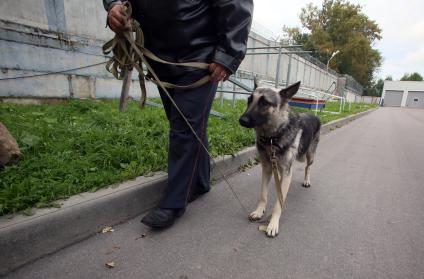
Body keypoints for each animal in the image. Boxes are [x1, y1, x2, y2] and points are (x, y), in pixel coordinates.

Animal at [238, 80, 322, 237]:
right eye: (249, 100)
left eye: (264, 103)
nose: (242, 120)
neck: (272, 137)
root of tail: (314, 115)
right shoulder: (267, 169)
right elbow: (263, 195)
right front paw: (259, 211)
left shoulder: (285, 171)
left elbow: (278, 204)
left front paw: (273, 224)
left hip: (309, 156)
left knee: (308, 167)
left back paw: (307, 180)